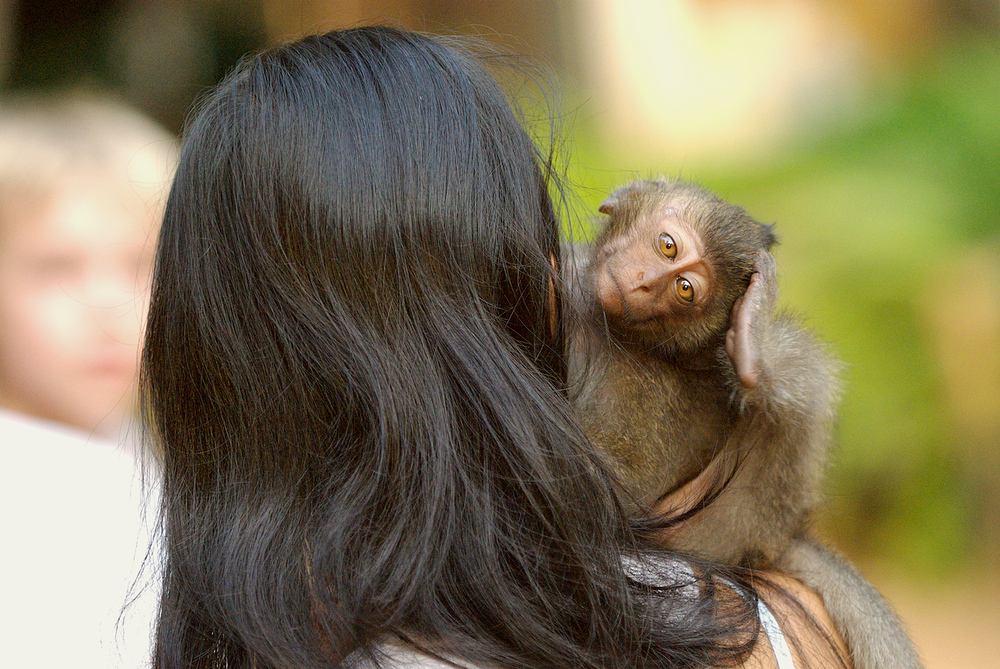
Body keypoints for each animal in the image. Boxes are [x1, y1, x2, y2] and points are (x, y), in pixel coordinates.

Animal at [568, 180, 924, 668]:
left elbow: (619, 490)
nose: (644, 282)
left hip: (730, 523)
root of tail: (779, 537)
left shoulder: (640, 392)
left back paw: (756, 356)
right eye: (667, 246)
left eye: (684, 289)